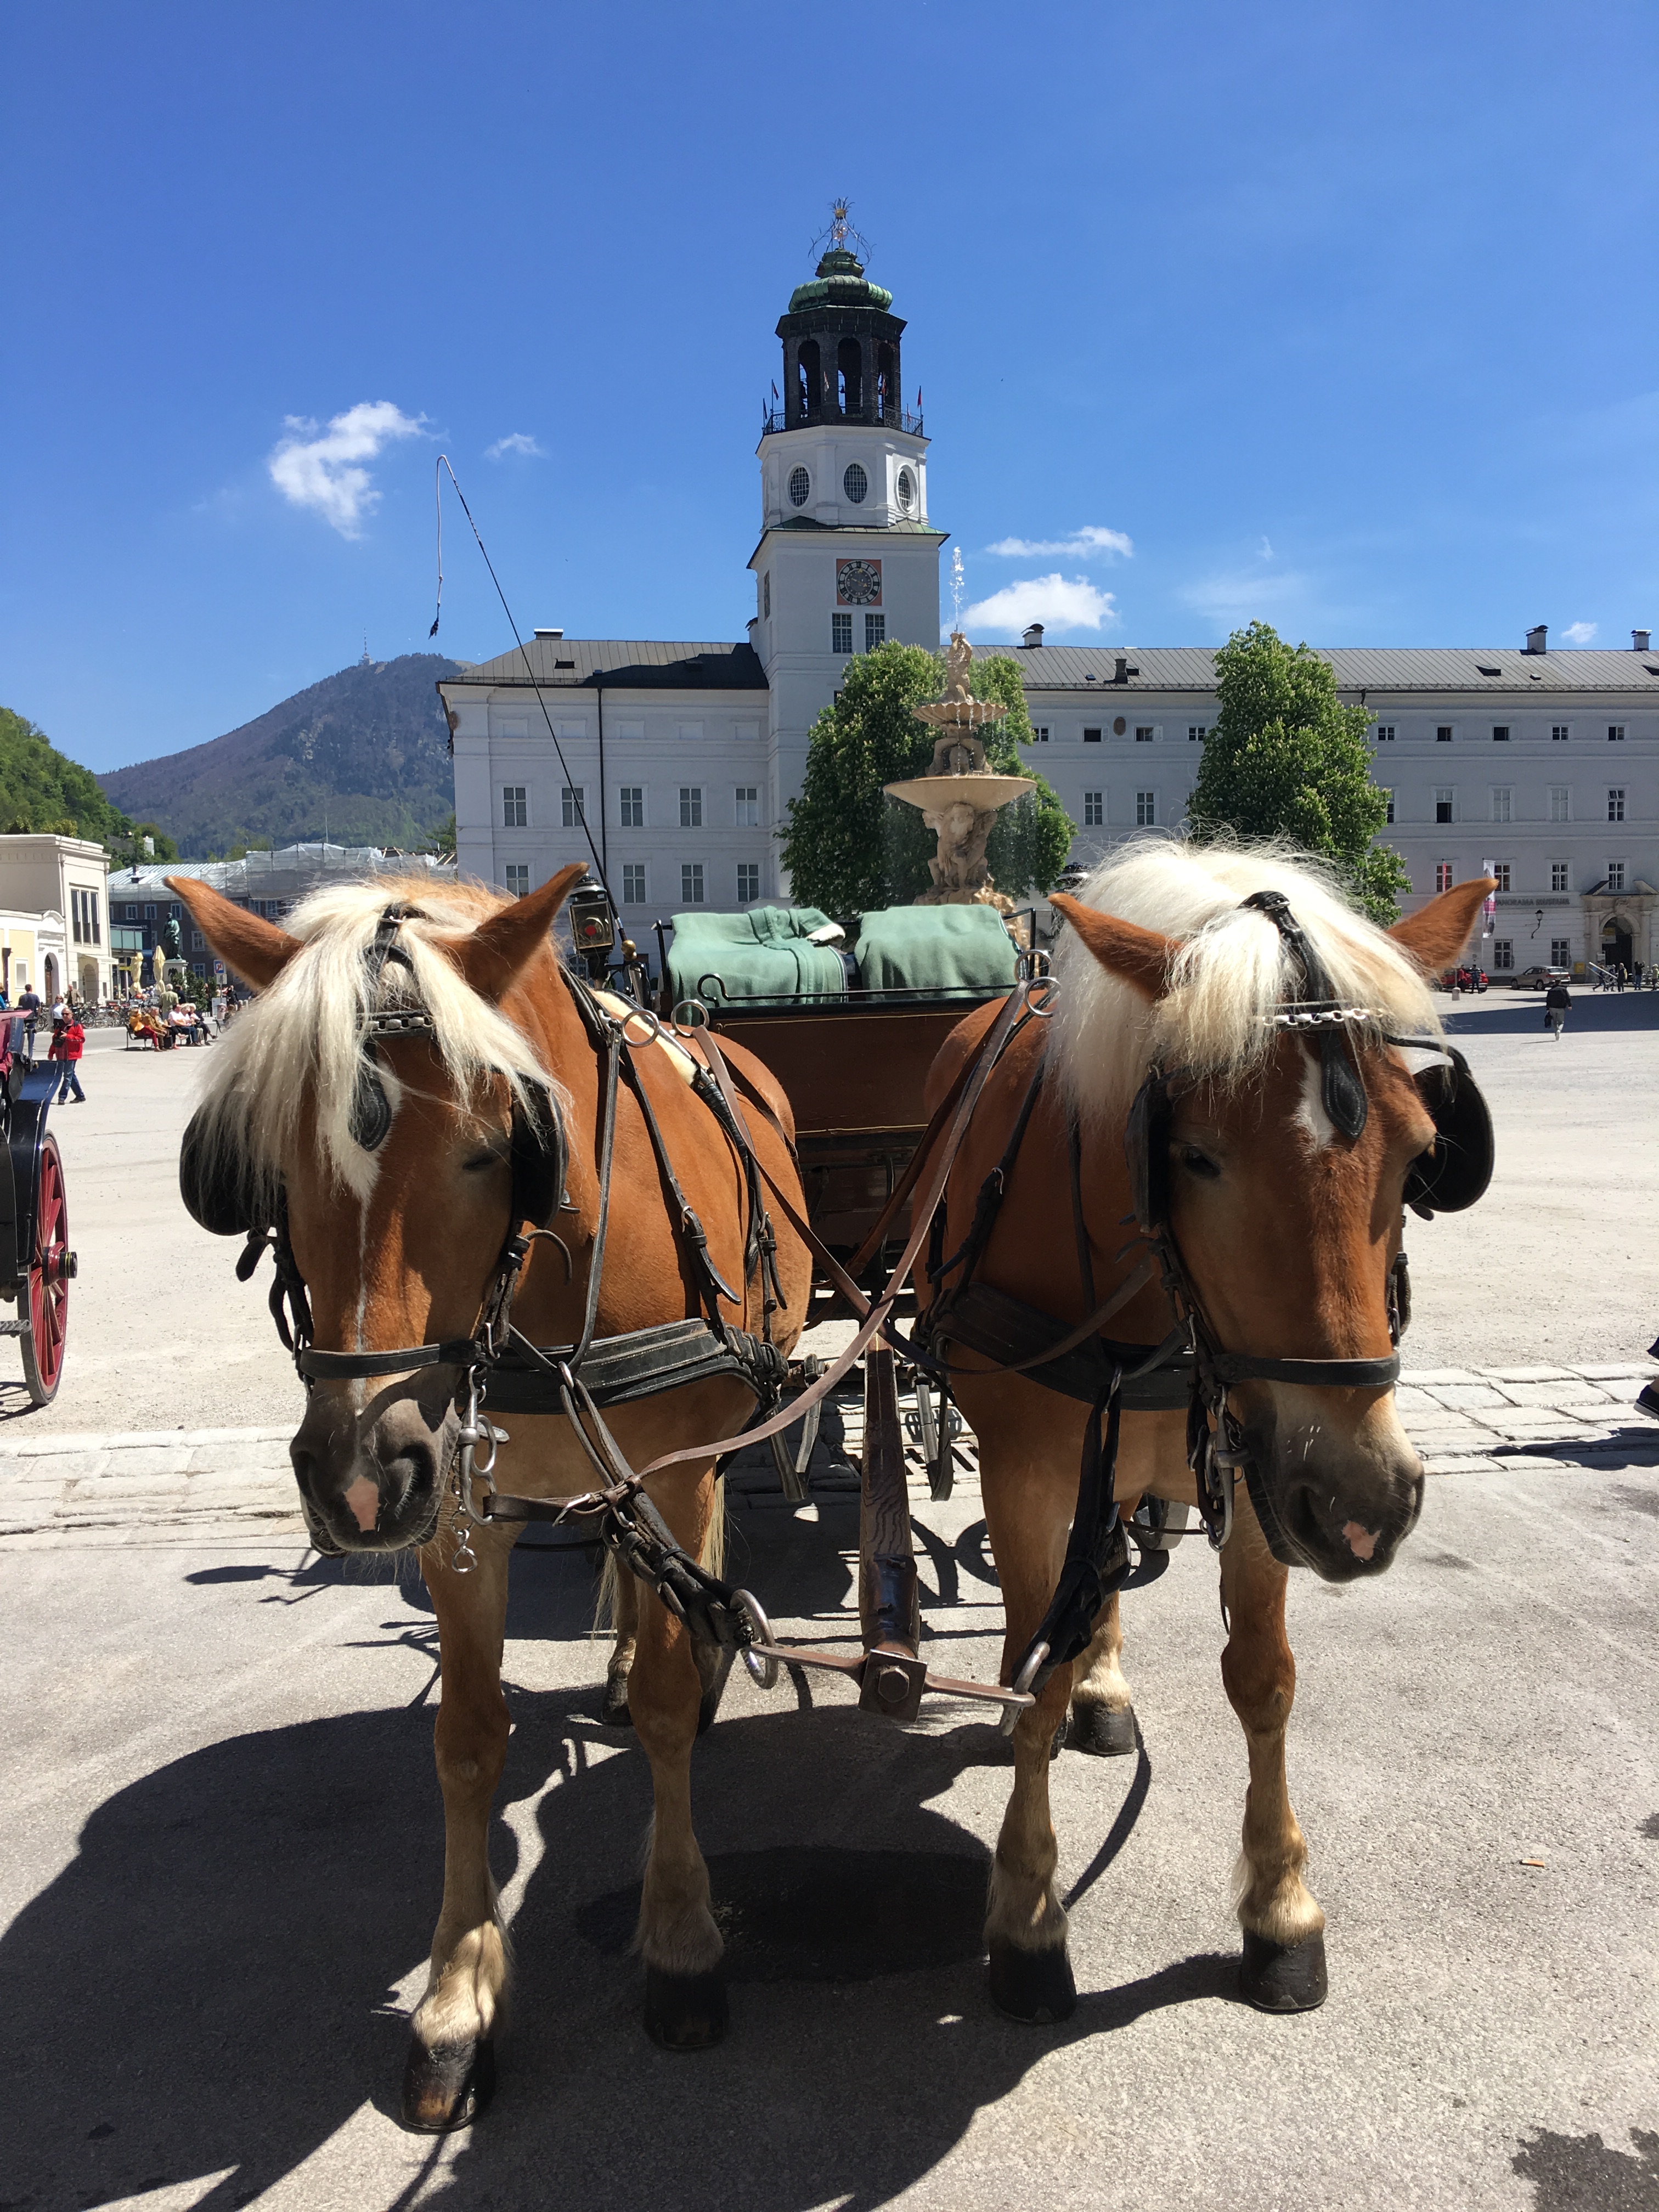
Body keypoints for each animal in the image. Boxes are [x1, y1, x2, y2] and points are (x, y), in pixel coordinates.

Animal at [172, 862, 814, 2123]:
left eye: (491, 1149)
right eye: (271, 1153)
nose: (359, 1475)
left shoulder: (671, 1465)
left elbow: (669, 1703)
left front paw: (681, 1939)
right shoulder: (458, 1506)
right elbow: (468, 1738)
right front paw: (457, 1999)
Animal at [916, 840, 1504, 2026]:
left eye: (1423, 1149)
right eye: (1194, 1156)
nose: (1366, 1501)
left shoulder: (1266, 1454)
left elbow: (1263, 1678)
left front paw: (1279, 1908)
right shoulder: (1028, 1469)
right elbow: (1030, 1675)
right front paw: (1027, 1913)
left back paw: (1104, 1683)